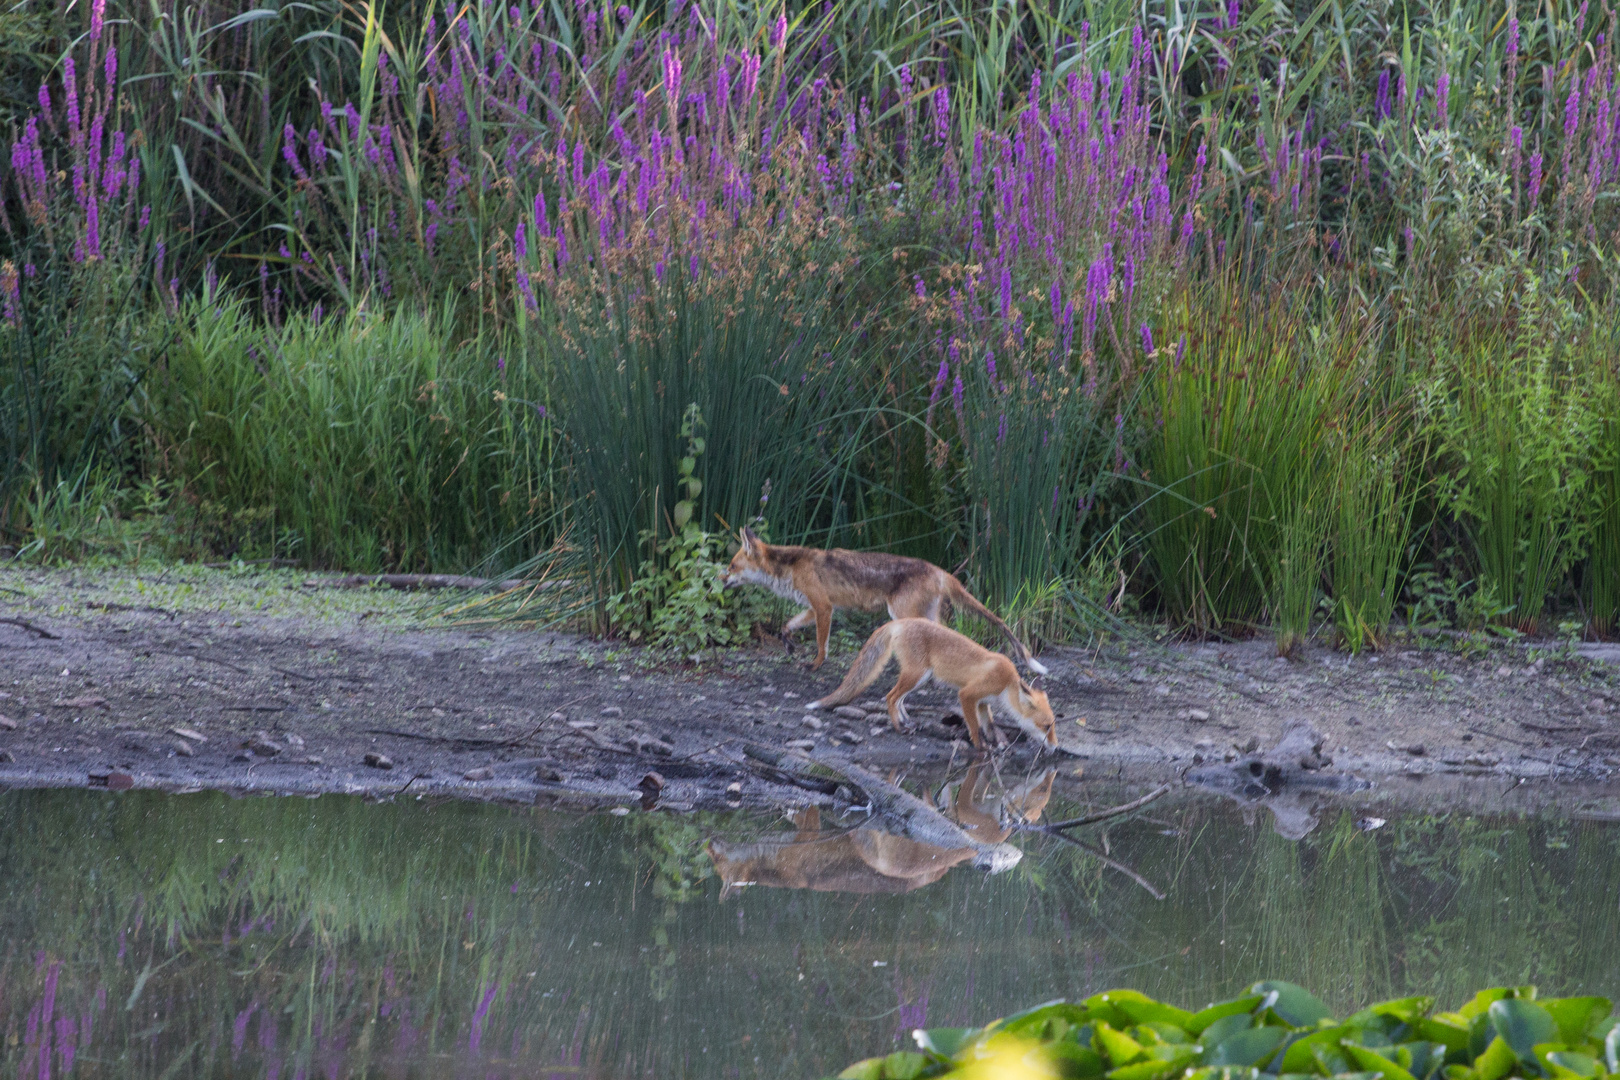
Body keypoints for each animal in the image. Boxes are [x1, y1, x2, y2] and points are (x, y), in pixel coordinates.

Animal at [722, 524, 1049, 670]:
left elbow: (821, 644)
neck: (790, 567)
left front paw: (815, 665)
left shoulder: (824, 607)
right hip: (925, 615)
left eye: (732, 566)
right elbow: (787, 626)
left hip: (902, 613)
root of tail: (940, 570)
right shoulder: (815, 607)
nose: (719, 579)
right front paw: (789, 644)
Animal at [803, 615, 1056, 751]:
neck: (1006, 684)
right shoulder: (968, 695)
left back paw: (907, 722)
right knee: (890, 697)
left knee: (899, 700)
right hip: (917, 674)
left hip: (921, 678)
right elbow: (975, 727)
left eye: (1053, 725)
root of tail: (902, 621)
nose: (1055, 747)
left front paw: (997, 743)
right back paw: (899, 727)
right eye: (1046, 726)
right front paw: (981, 748)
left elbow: (990, 726)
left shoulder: (984, 702)